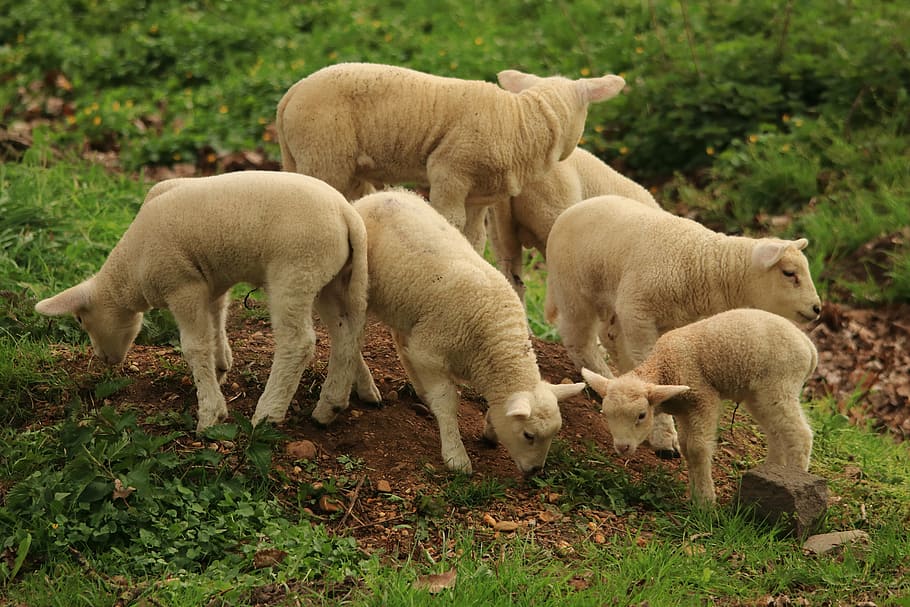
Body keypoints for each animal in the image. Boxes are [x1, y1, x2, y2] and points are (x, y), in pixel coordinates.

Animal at [34, 171, 381, 432]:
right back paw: (332, 404)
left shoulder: (181, 284)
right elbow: (216, 321)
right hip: (332, 279)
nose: (102, 359)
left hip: (296, 270)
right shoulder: (211, 282)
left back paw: (268, 412)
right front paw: (221, 365)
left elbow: (194, 346)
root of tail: (347, 214)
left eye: (80, 319)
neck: (130, 271)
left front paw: (211, 413)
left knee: (298, 343)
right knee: (347, 334)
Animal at [276, 62, 626, 251]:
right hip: (324, 153)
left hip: (320, 160)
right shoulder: (450, 170)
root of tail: (291, 94)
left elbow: (475, 236)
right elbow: (449, 221)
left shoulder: (481, 193)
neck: (521, 123)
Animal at [310, 188, 586, 475]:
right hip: (355, 288)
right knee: (350, 337)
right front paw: (456, 456)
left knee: (397, 339)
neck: (495, 335)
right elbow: (447, 401)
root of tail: (376, 196)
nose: (535, 472)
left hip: (407, 307)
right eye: (529, 435)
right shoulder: (430, 352)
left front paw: (489, 430)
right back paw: (363, 389)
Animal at [544, 194, 822, 458]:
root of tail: (572, 210)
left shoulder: (671, 321)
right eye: (789, 273)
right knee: (579, 339)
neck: (701, 265)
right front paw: (664, 437)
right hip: (574, 290)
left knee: (608, 335)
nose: (818, 308)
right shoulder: (638, 313)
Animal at [581, 308, 818, 506]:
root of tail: (809, 346)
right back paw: (772, 471)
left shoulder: (703, 399)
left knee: (799, 433)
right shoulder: (685, 410)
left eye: (641, 415)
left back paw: (795, 476)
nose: (622, 447)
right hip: (759, 394)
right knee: (776, 431)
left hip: (780, 384)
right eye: (606, 414)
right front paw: (695, 495)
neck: (665, 365)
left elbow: (697, 448)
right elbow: (686, 447)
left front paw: (705, 502)